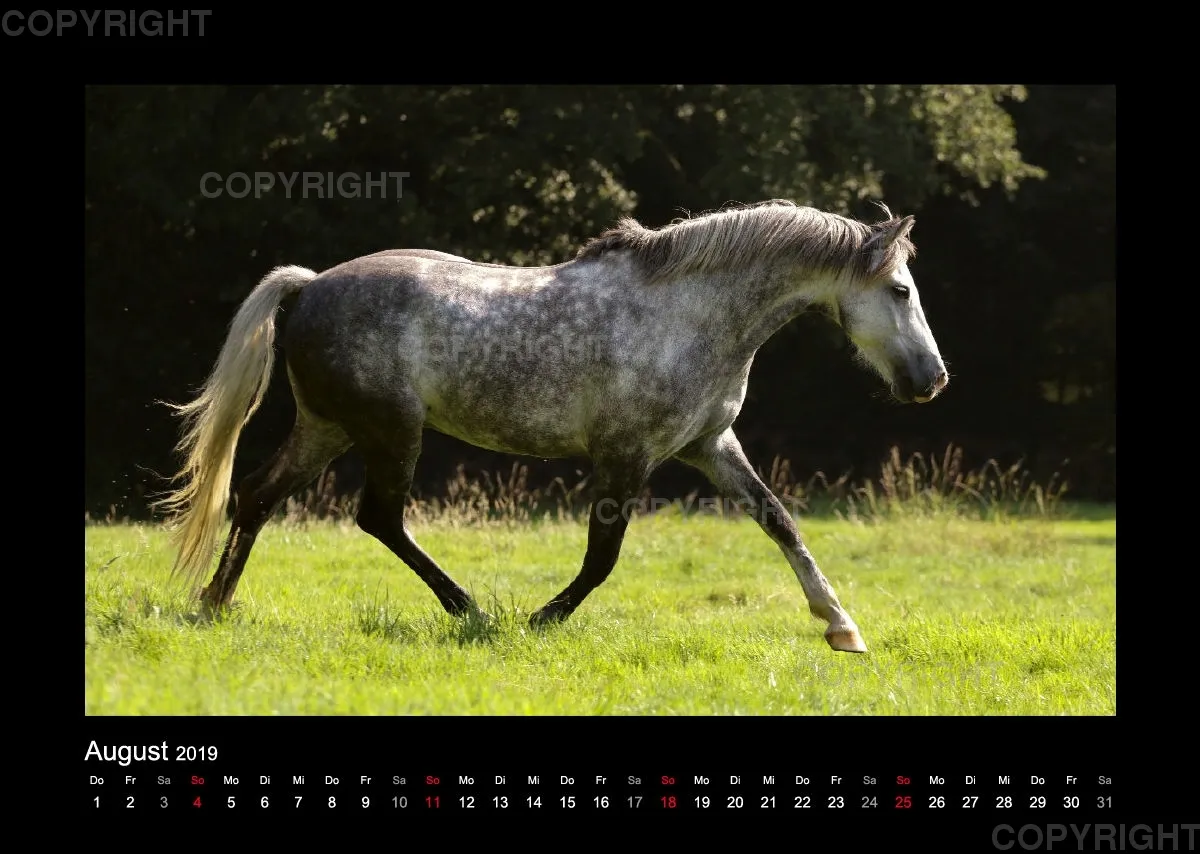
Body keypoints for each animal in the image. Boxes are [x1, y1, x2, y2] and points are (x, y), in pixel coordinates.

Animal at [156, 199, 948, 653]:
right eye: (900, 290)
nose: (932, 379)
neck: (691, 316)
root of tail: (310, 284)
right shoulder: (627, 454)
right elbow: (601, 558)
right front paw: (542, 620)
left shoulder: (709, 446)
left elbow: (780, 521)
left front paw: (842, 627)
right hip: (389, 430)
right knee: (377, 516)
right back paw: (470, 609)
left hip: (330, 428)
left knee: (258, 496)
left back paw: (214, 605)